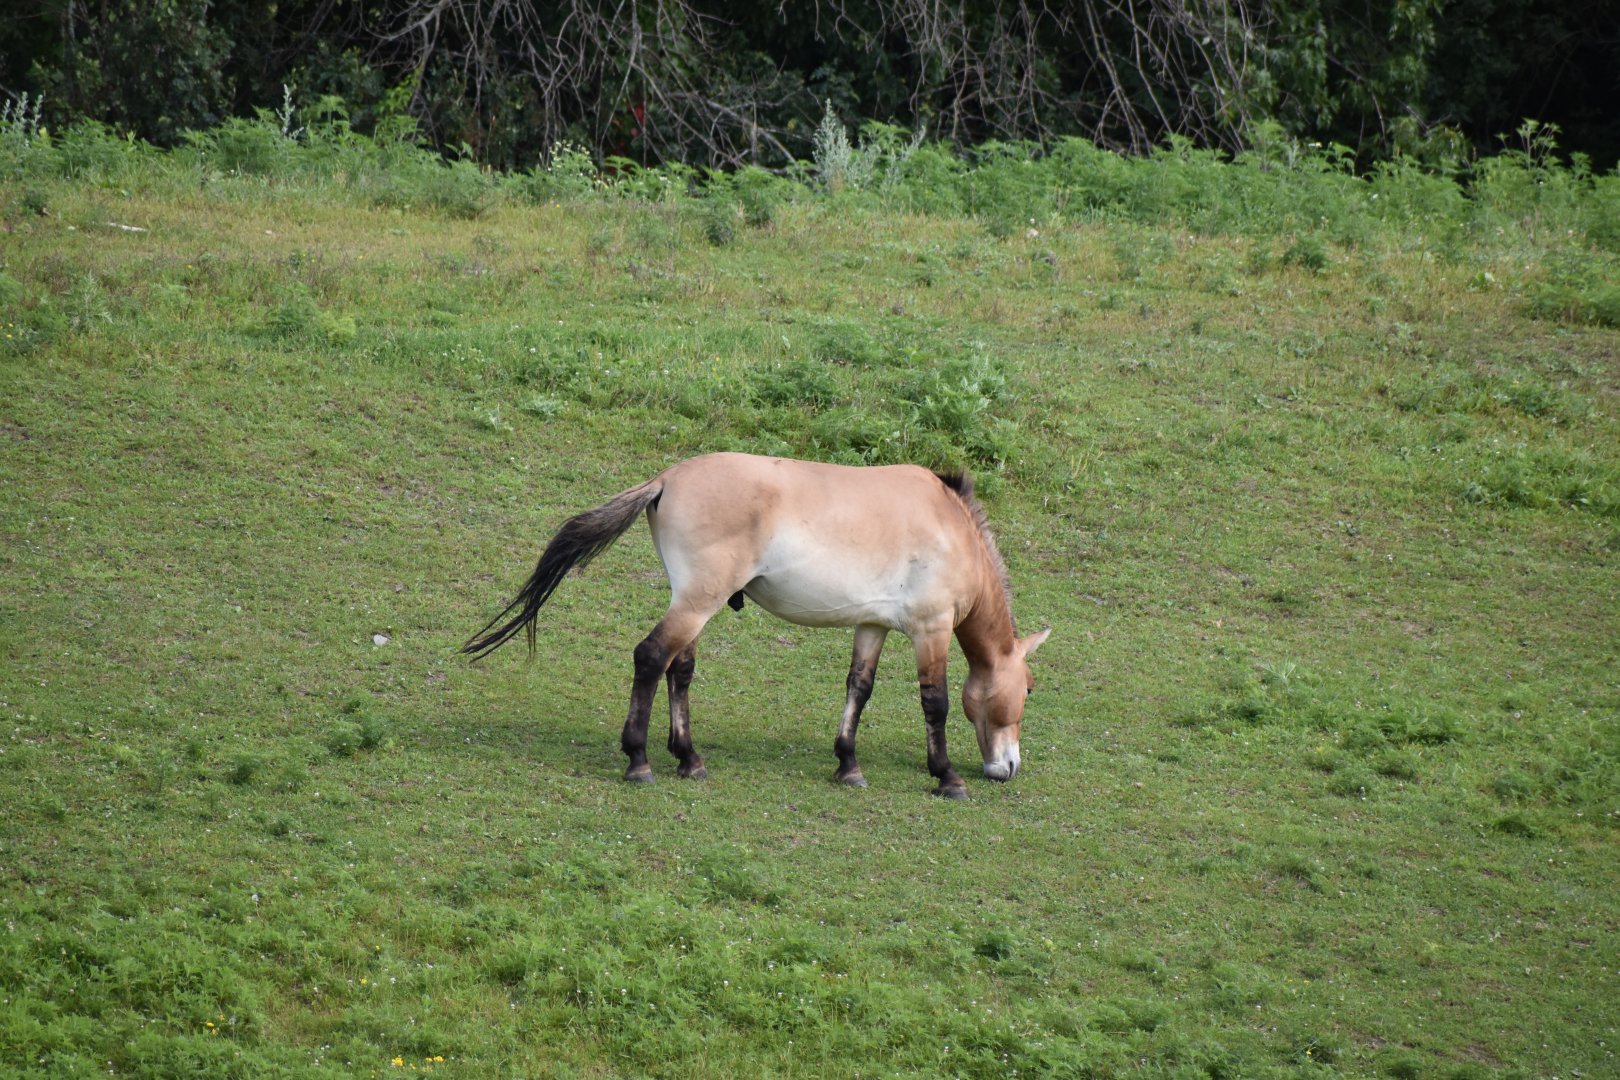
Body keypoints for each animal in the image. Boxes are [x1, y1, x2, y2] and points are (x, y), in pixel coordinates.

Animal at [463, 452, 1048, 798]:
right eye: (1029, 689)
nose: (1009, 767)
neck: (952, 528)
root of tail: (668, 478)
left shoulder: (872, 625)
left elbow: (858, 689)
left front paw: (848, 765)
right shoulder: (930, 629)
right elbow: (936, 702)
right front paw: (947, 776)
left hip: (695, 602)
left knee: (679, 670)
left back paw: (689, 758)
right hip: (698, 601)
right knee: (651, 657)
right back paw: (639, 760)